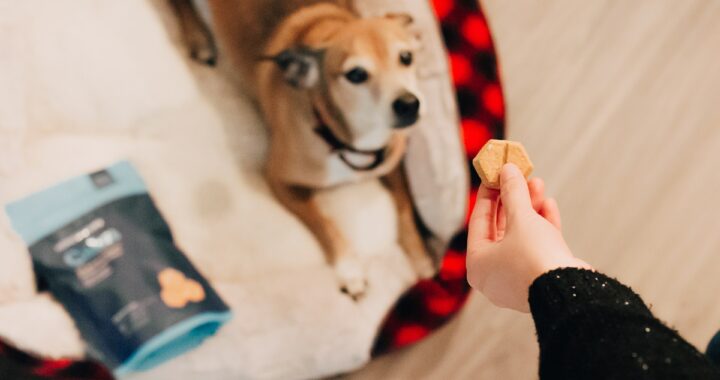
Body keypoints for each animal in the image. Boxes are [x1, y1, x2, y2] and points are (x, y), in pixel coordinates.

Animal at [169, 0, 436, 296]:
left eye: (406, 57)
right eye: (356, 74)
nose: (408, 104)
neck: (346, 140)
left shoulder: (393, 166)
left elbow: (405, 209)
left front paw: (421, 258)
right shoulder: (278, 179)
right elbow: (324, 222)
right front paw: (349, 268)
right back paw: (199, 38)